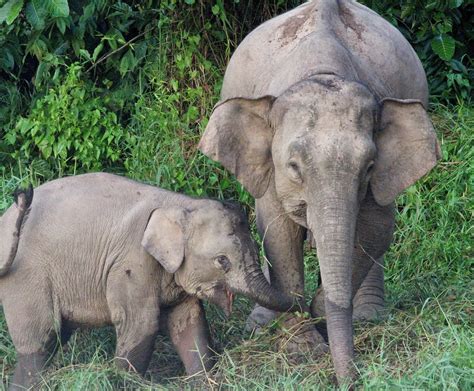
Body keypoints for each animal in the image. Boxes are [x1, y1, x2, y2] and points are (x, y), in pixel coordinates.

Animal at [0, 174, 296, 388]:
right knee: (39, 341)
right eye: (222, 260)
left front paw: (204, 381)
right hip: (26, 278)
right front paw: (122, 381)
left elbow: (189, 323)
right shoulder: (131, 264)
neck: (179, 204)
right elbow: (141, 325)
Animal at [197, 0, 440, 386]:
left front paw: (322, 310)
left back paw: (367, 316)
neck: (323, 69)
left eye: (369, 166)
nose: (351, 382)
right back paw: (261, 325)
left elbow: (377, 230)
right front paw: (304, 347)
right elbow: (277, 233)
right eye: (294, 166)